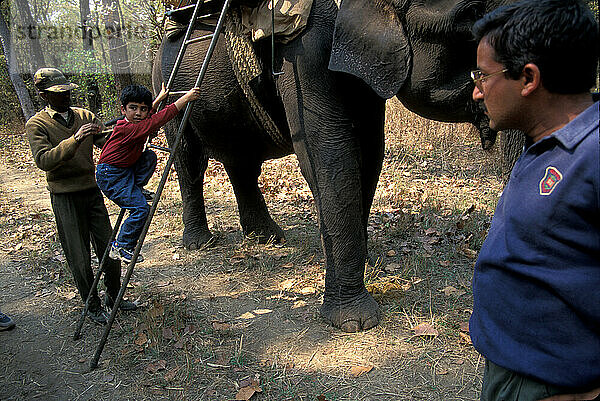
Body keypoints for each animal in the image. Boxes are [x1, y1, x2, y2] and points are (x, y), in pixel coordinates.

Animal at [152, 0, 508, 332]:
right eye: (473, 12)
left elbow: (369, 150)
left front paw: (365, 266)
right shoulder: (305, 54)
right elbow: (330, 153)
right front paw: (355, 323)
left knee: (241, 161)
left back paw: (267, 238)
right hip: (167, 90)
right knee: (188, 158)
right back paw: (202, 243)